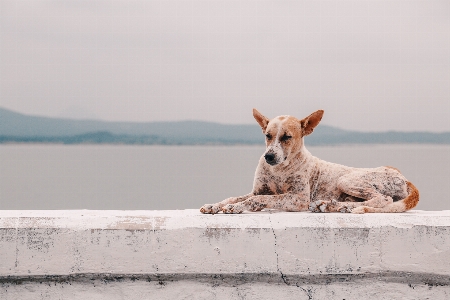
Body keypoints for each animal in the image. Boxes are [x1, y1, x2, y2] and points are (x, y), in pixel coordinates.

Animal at [200, 109, 418, 214]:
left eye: (287, 137)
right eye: (267, 136)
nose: (268, 157)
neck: (280, 169)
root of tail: (403, 177)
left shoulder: (298, 198)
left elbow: (256, 200)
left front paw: (236, 208)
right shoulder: (259, 190)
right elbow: (233, 197)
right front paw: (215, 205)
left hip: (347, 180)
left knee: (383, 199)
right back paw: (331, 205)